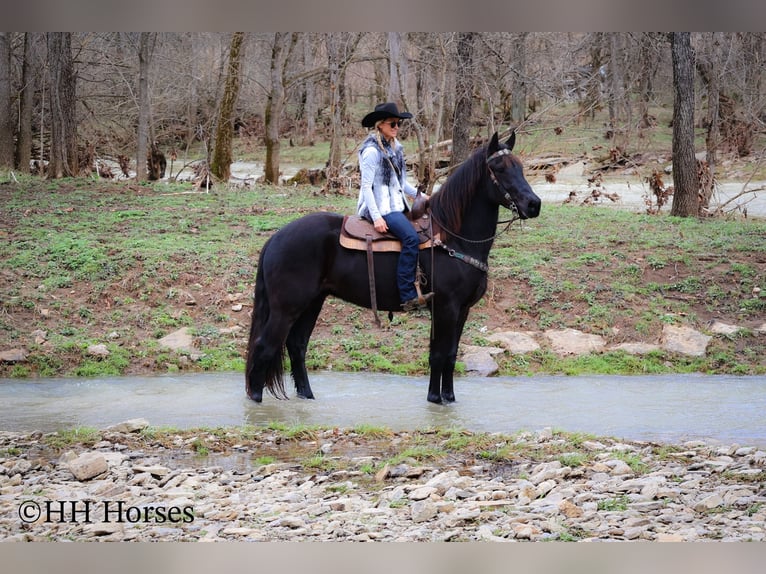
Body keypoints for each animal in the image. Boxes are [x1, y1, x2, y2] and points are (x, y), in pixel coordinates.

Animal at [245, 131, 541, 404]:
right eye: (499, 168)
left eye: (520, 167)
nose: (534, 204)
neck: (451, 237)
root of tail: (276, 238)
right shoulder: (446, 307)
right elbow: (439, 354)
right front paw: (435, 399)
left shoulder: (462, 310)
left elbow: (451, 354)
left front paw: (448, 397)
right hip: (286, 308)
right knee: (265, 346)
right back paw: (256, 400)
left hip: (312, 302)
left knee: (297, 346)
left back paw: (307, 395)